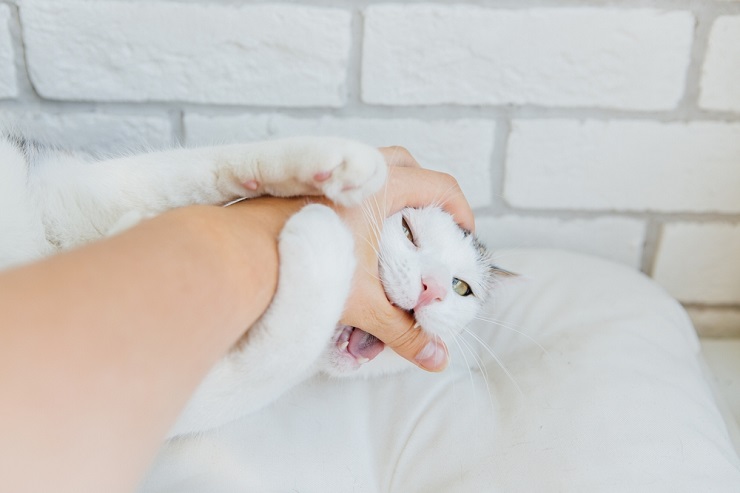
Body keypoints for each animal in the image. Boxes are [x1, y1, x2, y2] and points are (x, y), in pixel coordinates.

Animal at [0, 133, 502, 436]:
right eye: (410, 233)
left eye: (462, 288)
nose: (431, 288)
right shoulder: (73, 192)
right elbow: (184, 166)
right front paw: (326, 164)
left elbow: (266, 365)